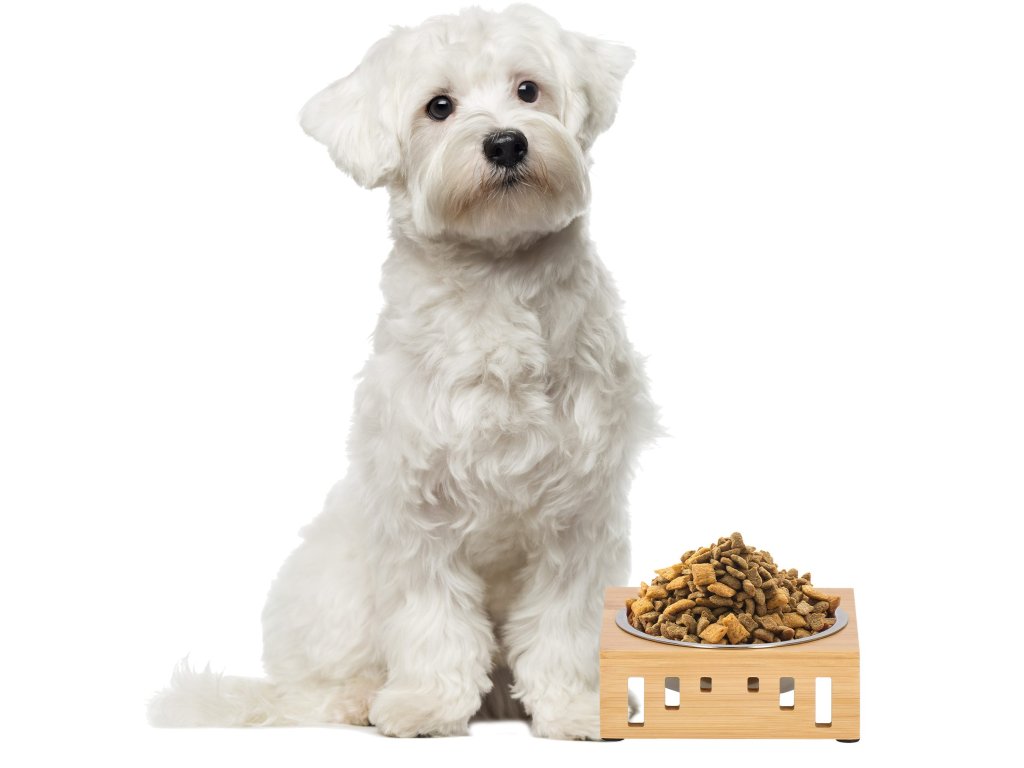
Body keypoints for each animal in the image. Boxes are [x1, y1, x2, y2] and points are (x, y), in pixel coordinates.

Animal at [148, 4, 658, 740]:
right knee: (312, 690)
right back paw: (360, 700)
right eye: (438, 107)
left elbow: (562, 625)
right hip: (335, 589)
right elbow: (431, 616)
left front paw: (574, 708)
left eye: (528, 90)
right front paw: (426, 705)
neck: (496, 279)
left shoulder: (576, 515)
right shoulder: (419, 508)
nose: (506, 143)